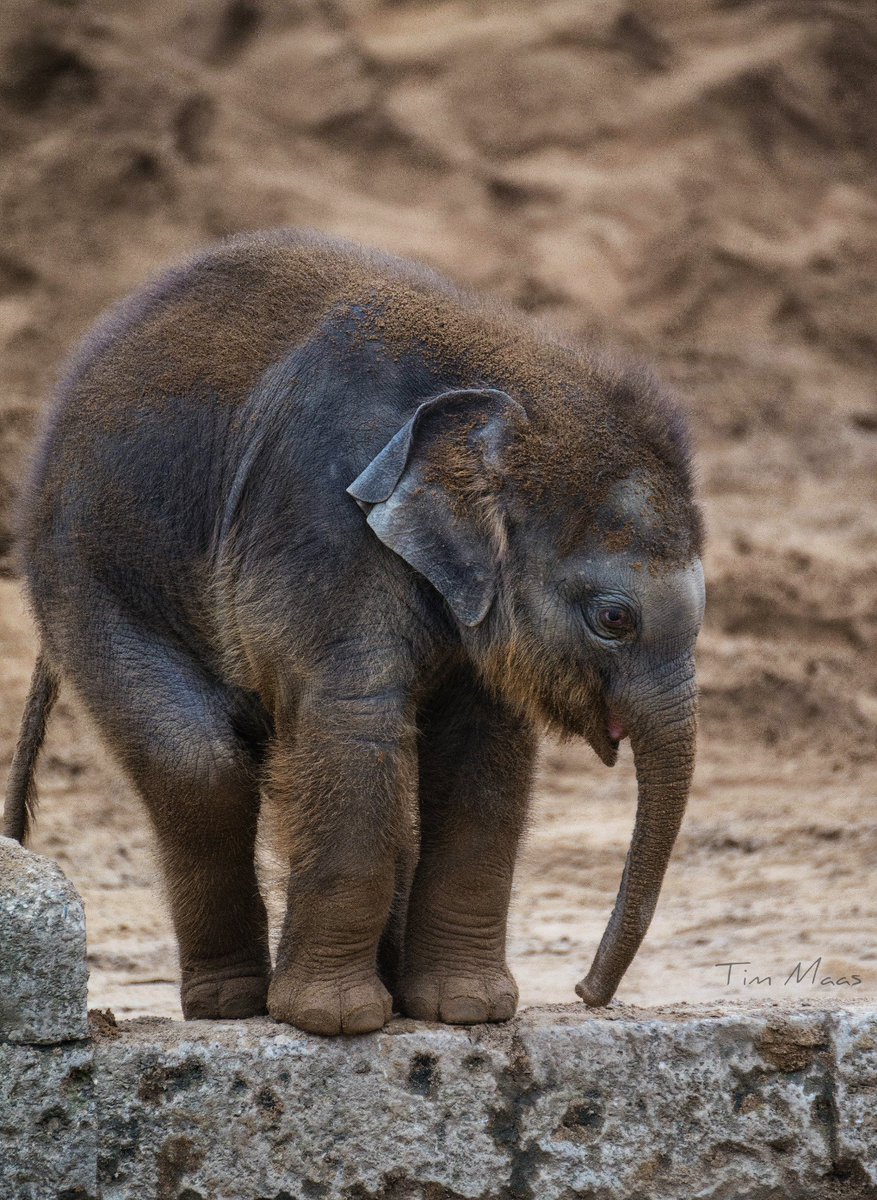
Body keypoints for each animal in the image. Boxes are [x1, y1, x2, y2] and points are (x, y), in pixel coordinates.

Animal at [5, 229, 705, 1036]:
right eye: (614, 619)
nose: (587, 991)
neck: (508, 396)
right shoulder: (321, 519)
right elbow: (352, 719)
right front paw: (333, 1022)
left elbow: (483, 747)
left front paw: (465, 1011)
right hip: (85, 576)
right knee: (199, 765)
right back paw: (232, 1007)